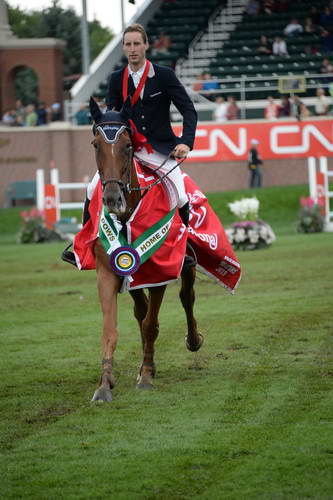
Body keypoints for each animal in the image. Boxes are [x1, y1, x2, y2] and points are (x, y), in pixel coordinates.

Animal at [89, 97, 202, 402]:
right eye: (95, 144)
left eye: (128, 145)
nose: (112, 199)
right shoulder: (107, 271)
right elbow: (110, 330)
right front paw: (105, 383)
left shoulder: (159, 273)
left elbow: (152, 324)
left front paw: (148, 375)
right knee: (141, 311)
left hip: (184, 267)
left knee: (186, 297)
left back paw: (191, 341)